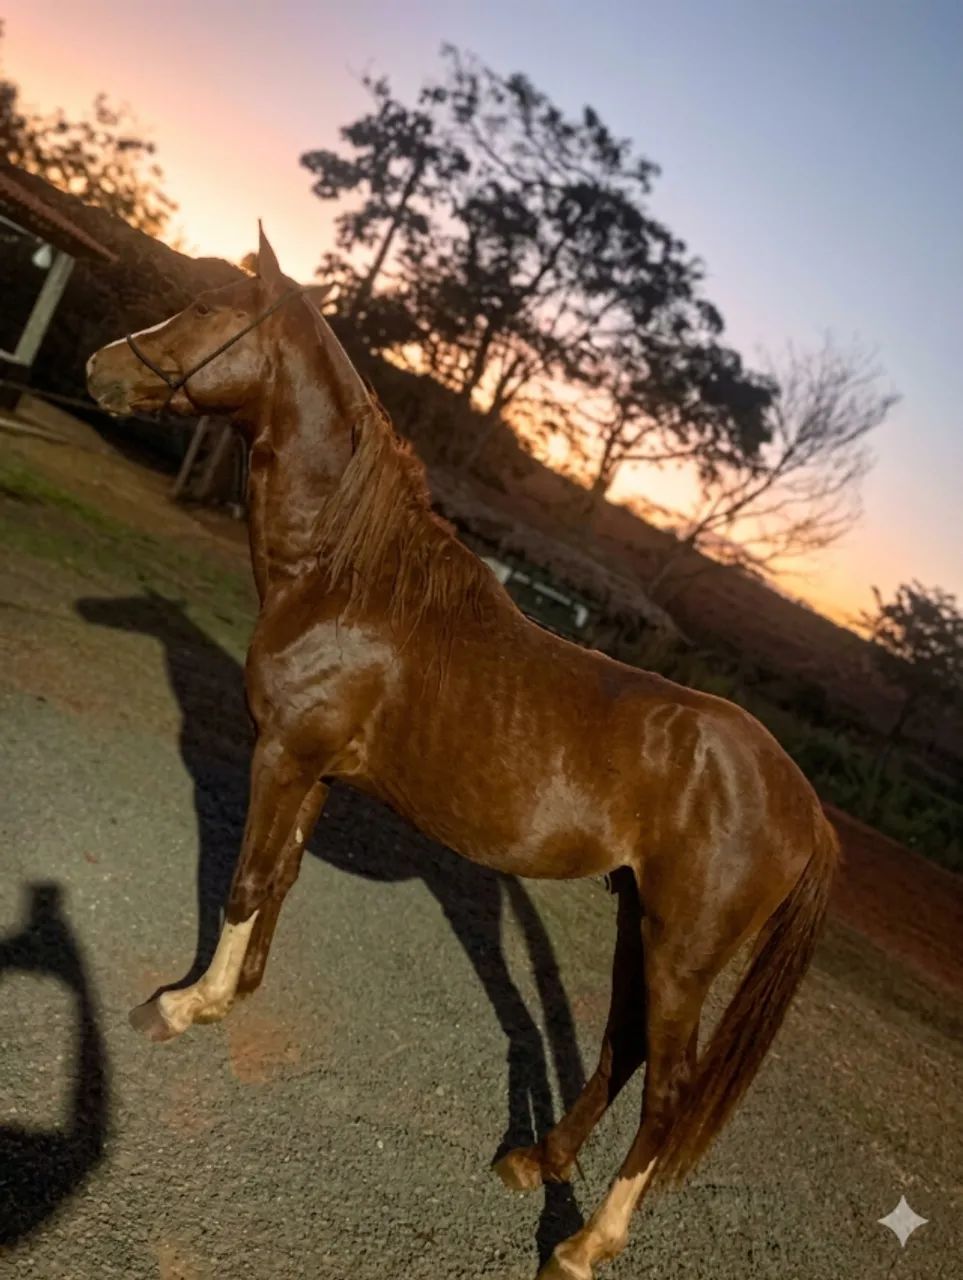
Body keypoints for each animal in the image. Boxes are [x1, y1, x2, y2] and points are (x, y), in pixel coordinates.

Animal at [86, 226, 838, 1280]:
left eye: (204, 309)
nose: (98, 369)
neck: (348, 578)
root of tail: (801, 803)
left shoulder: (281, 756)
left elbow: (242, 882)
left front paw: (185, 1004)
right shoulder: (313, 771)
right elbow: (279, 878)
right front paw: (234, 997)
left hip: (683, 952)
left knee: (669, 1090)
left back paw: (583, 1244)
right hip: (639, 919)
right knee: (623, 1045)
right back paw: (536, 1159)